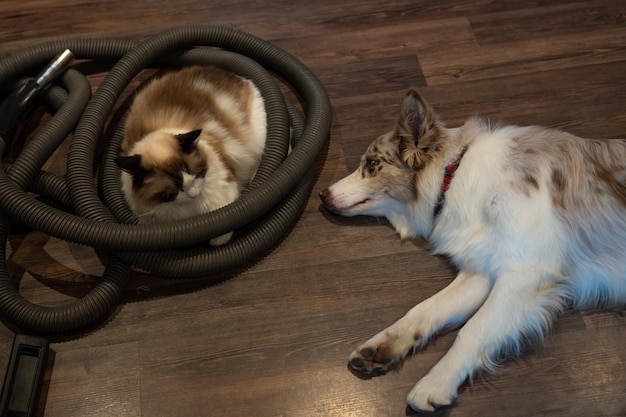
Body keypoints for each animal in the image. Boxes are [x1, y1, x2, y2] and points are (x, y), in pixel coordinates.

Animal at [114, 65, 266, 245]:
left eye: (196, 175)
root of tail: (235, 76)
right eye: (174, 191)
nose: (194, 195)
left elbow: (223, 228)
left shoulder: (226, 190)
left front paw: (215, 241)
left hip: (256, 139)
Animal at [320, 89, 624, 412]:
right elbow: (425, 309)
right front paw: (381, 347)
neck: (454, 176)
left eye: (371, 164)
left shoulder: (525, 273)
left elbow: (472, 330)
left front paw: (435, 384)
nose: (322, 194)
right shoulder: (481, 272)